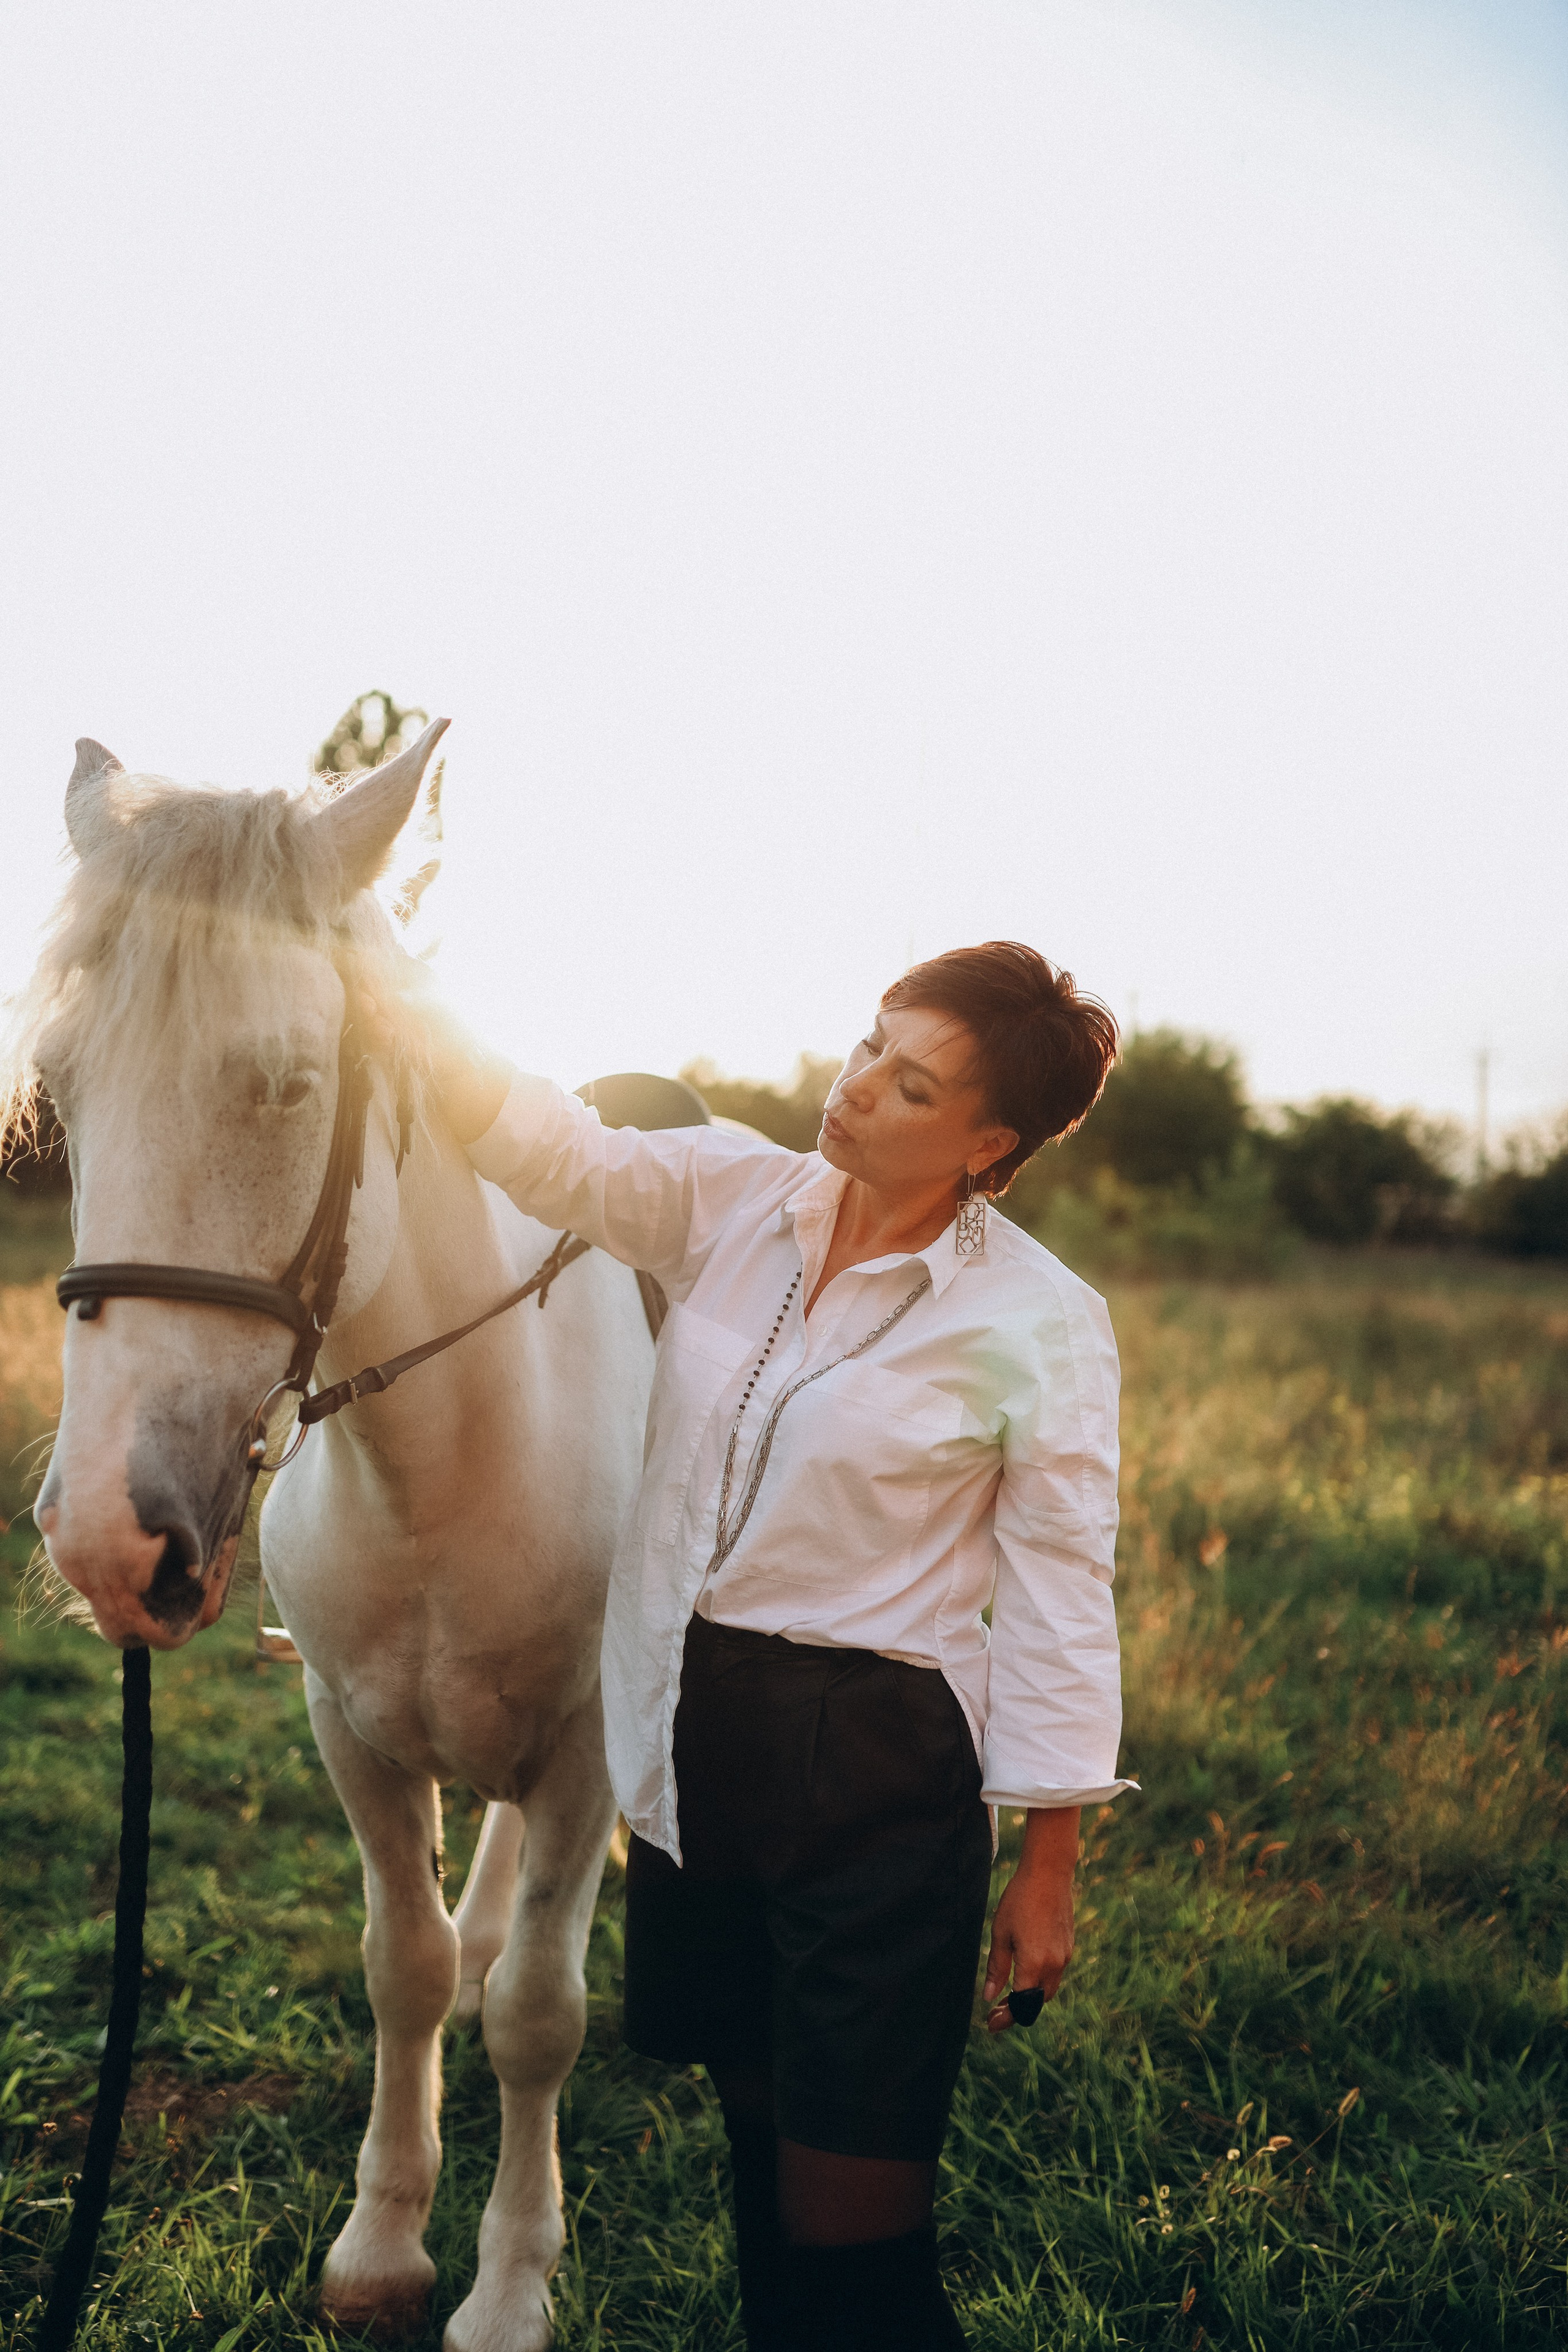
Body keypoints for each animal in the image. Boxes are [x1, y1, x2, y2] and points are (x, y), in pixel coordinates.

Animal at [13, 722, 653, 2351]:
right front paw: (384, 2241)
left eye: (289, 1083)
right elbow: (405, 1968)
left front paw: (507, 2284)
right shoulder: (352, 1732)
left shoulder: (583, 1743)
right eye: (62, 1088)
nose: (109, 1541)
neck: (437, 1464)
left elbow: (540, 2015)